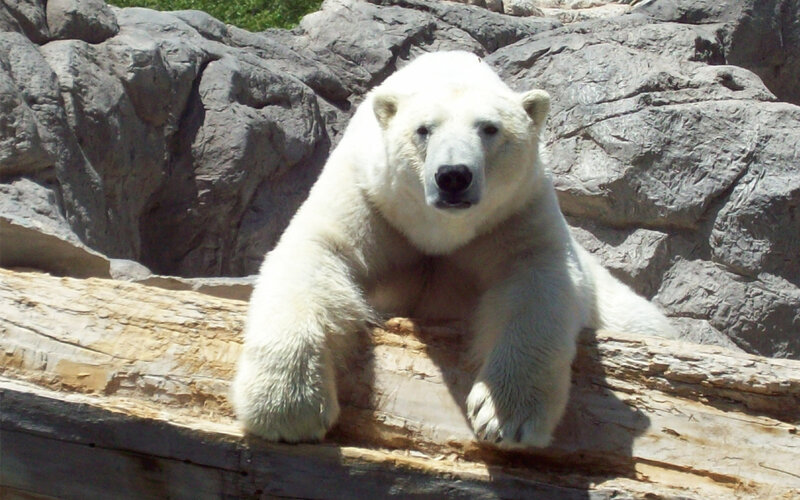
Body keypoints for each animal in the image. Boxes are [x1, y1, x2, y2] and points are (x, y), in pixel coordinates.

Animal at [232, 51, 676, 448]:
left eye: (490, 129)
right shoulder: (369, 195)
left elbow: (537, 277)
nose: (453, 176)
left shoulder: (515, 213)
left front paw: (505, 417)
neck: (439, 230)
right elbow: (317, 251)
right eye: (423, 129)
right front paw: (286, 408)